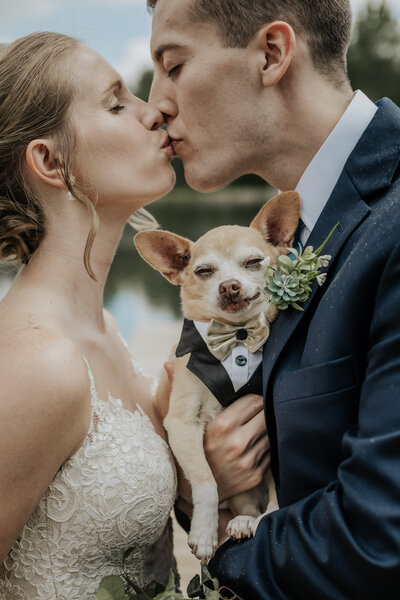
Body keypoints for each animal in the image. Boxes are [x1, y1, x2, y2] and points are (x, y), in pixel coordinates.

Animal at [134, 191, 300, 564]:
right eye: (204, 271)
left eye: (253, 262)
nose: (229, 287)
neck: (237, 336)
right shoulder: (182, 424)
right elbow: (207, 481)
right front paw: (205, 533)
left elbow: (277, 489)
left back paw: (247, 522)